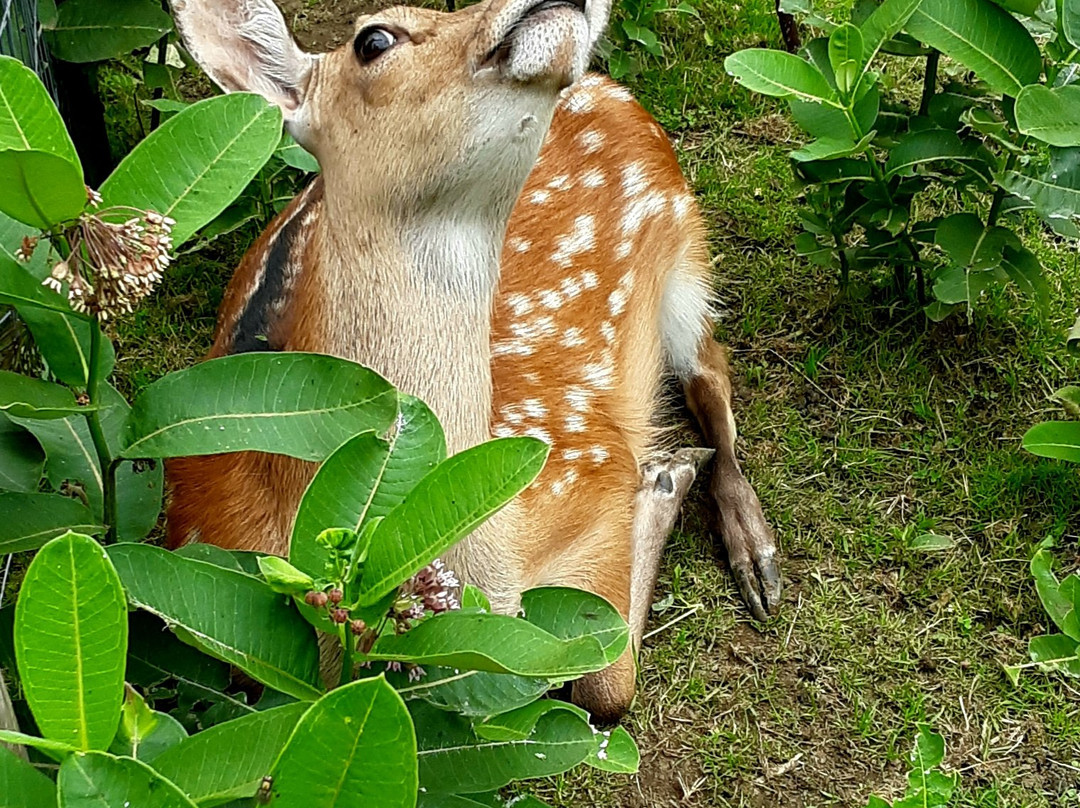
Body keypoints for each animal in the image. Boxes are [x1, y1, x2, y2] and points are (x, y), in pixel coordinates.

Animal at [165, 0, 781, 721]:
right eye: (373, 39)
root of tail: (609, 86)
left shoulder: (589, 463)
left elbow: (606, 686)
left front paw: (664, 476)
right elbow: (602, 683)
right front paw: (663, 474)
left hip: (685, 246)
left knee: (712, 375)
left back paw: (755, 555)